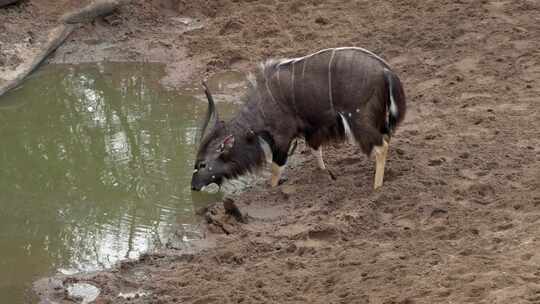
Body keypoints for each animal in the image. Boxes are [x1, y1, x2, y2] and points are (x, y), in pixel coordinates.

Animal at [190, 46, 404, 191]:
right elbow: (316, 151)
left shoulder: (282, 137)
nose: (193, 186)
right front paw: (326, 176)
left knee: (381, 146)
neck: (263, 103)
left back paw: (377, 189)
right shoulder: (312, 130)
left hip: (358, 119)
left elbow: (276, 168)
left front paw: (270, 190)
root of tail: (386, 71)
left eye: (202, 164)